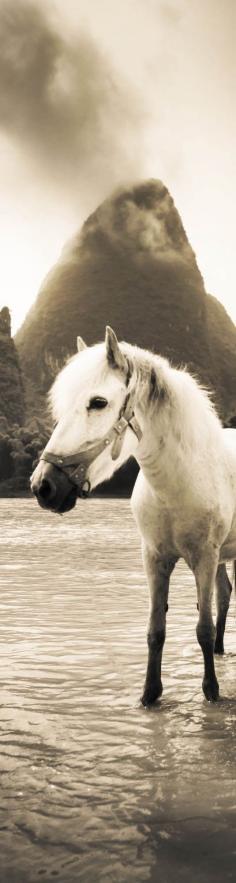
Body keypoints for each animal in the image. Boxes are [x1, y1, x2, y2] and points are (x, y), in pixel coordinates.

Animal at [31, 328, 236, 708]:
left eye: (98, 402)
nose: (43, 486)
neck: (179, 482)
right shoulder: (153, 558)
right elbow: (155, 630)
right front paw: (150, 694)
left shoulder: (203, 557)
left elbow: (202, 628)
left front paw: (211, 692)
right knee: (225, 594)